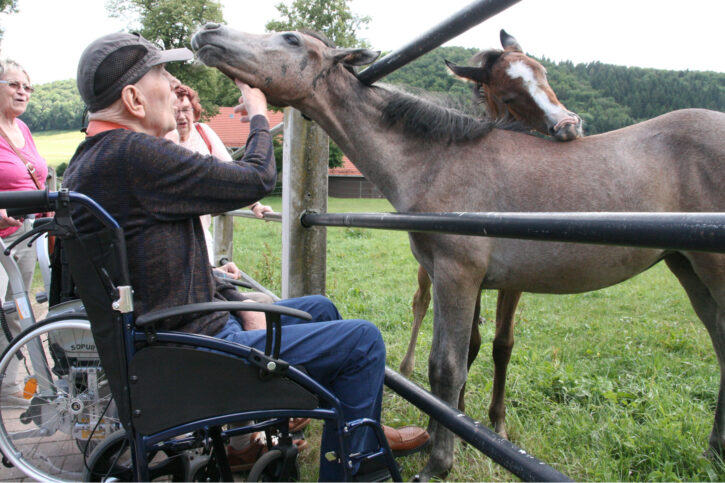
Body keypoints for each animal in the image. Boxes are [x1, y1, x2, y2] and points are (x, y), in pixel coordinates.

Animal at [191, 25, 724, 480]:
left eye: (290, 39)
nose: (206, 32)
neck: (438, 160)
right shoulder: (445, 277)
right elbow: (440, 362)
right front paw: (437, 438)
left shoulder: (458, 275)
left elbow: (449, 368)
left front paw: (439, 462)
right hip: (689, 268)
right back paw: (712, 453)